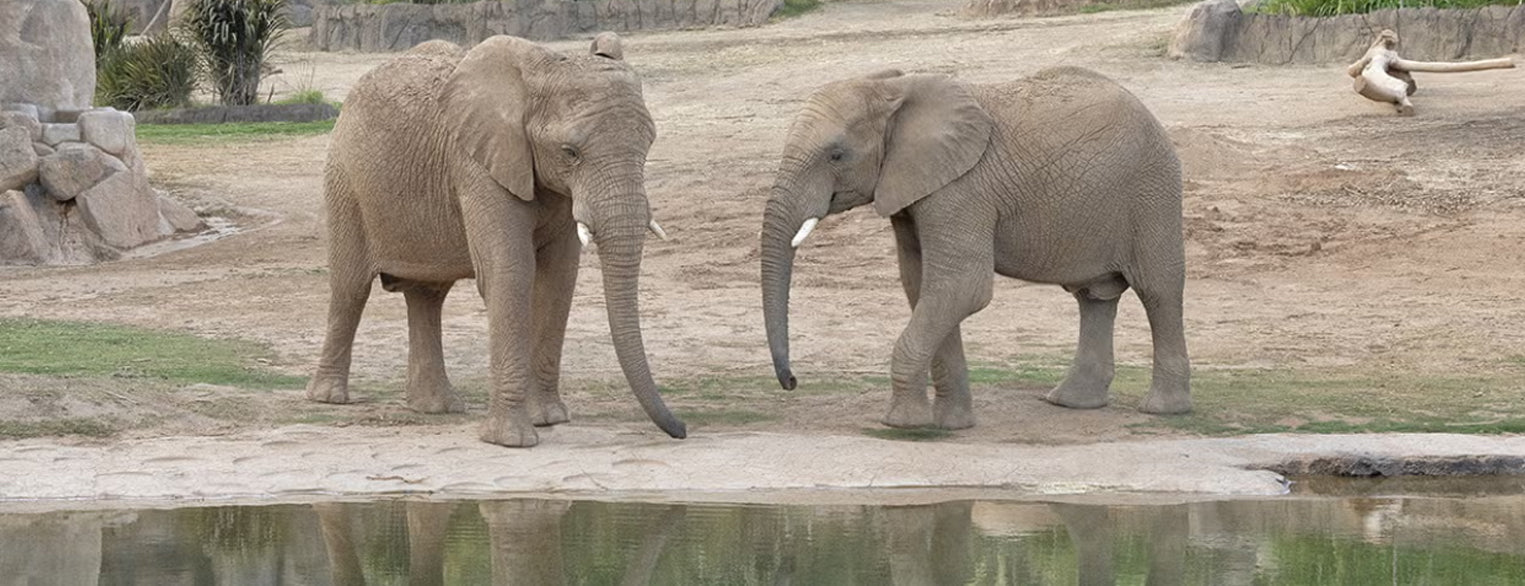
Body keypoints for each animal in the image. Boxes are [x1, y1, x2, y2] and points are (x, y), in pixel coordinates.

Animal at [306, 33, 686, 447]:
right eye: (570, 152)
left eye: (649, 145)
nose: (681, 429)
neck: (542, 72)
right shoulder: (478, 165)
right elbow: (510, 273)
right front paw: (512, 440)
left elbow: (558, 279)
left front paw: (549, 419)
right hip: (344, 180)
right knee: (350, 288)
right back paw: (329, 398)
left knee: (427, 296)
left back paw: (437, 407)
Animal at [760, 67, 1190, 430]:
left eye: (836, 155)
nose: (792, 381)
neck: (896, 89)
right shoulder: (916, 189)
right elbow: (923, 287)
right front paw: (951, 424)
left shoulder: (962, 189)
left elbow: (961, 287)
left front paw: (902, 424)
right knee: (1093, 297)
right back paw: (1070, 402)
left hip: (1153, 190)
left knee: (1158, 291)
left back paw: (1163, 409)